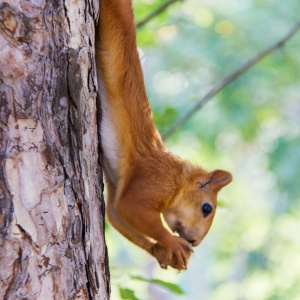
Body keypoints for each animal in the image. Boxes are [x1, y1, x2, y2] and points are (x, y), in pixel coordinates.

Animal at [96, 0, 232, 272]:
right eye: (206, 208)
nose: (194, 241)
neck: (180, 179)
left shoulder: (118, 184)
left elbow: (116, 214)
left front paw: (162, 251)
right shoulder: (157, 179)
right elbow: (131, 207)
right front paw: (173, 243)